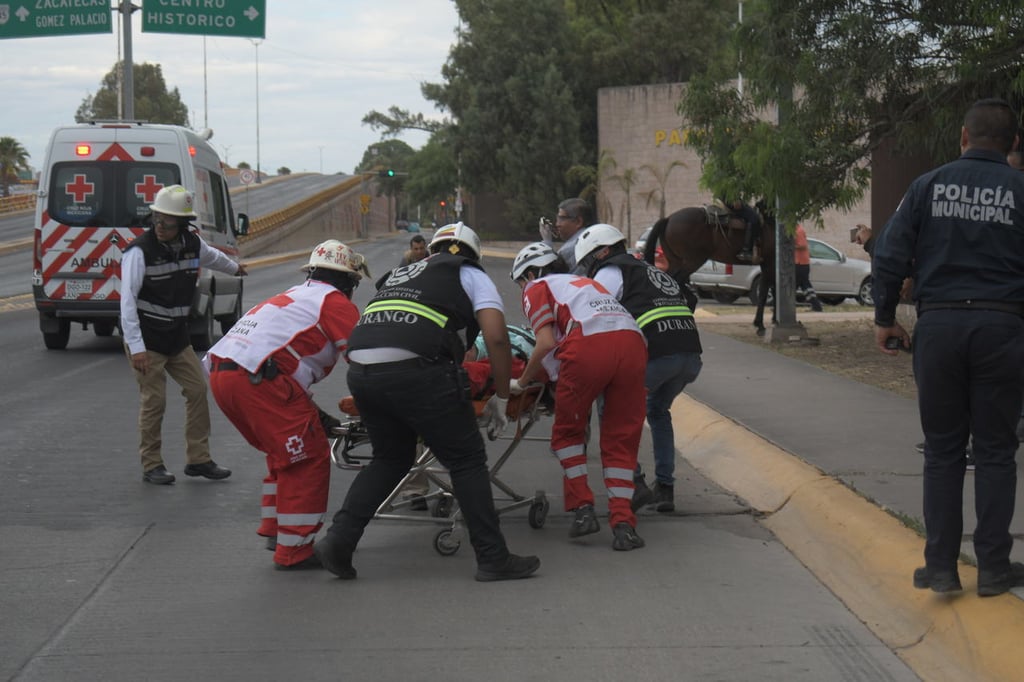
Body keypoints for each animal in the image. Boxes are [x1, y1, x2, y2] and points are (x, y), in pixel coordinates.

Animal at [638, 202, 774, 333]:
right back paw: (690, 303)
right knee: (677, 281)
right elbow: (765, 292)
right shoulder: (769, 263)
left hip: (676, 261)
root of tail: (669, 218)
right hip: (694, 260)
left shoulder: (767, 264)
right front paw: (761, 325)